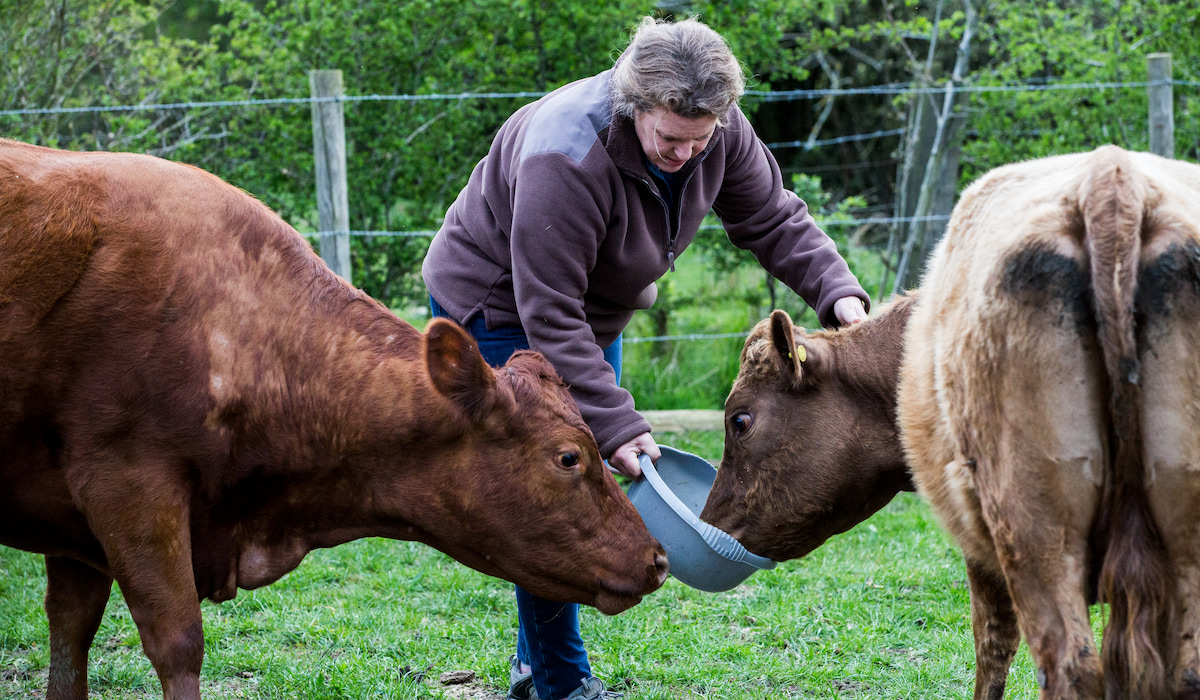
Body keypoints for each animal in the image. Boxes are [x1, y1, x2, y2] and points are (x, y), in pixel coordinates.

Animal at [0, 137, 668, 700]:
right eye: (568, 457)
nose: (658, 558)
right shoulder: (127, 485)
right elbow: (177, 642)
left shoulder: (77, 529)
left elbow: (70, 636)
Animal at [703, 145, 1200, 699]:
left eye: (740, 420)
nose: (708, 523)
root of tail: (1111, 180)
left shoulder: (981, 551)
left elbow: (991, 645)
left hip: (1033, 532)